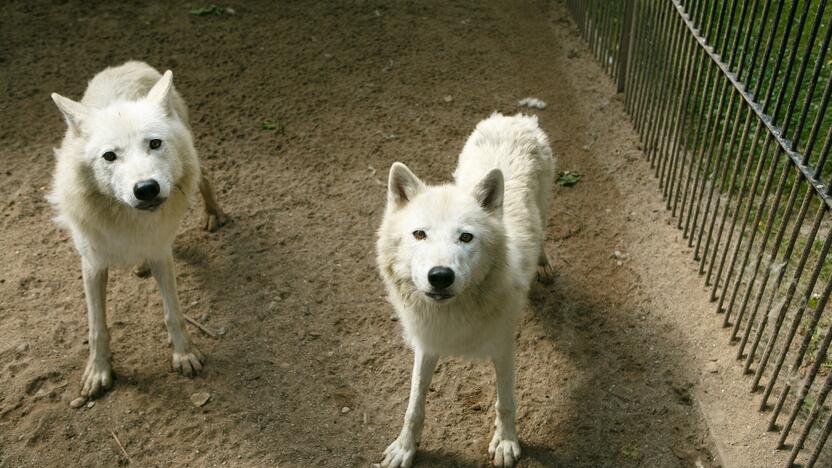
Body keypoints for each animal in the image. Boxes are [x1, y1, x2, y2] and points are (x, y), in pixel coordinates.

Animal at [51, 61, 228, 398]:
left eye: (154, 143)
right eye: (109, 156)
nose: (146, 189)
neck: (129, 220)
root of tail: (127, 64)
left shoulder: (161, 253)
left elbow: (173, 314)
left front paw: (184, 355)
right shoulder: (92, 264)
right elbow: (97, 327)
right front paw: (98, 371)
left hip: (193, 160)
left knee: (205, 177)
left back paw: (214, 215)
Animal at [376, 111, 552, 466]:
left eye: (466, 237)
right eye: (419, 234)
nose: (440, 276)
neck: (454, 313)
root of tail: (515, 117)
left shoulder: (503, 347)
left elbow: (505, 402)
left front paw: (506, 443)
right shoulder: (427, 343)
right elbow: (414, 406)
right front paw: (404, 448)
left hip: (544, 203)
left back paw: (542, 263)